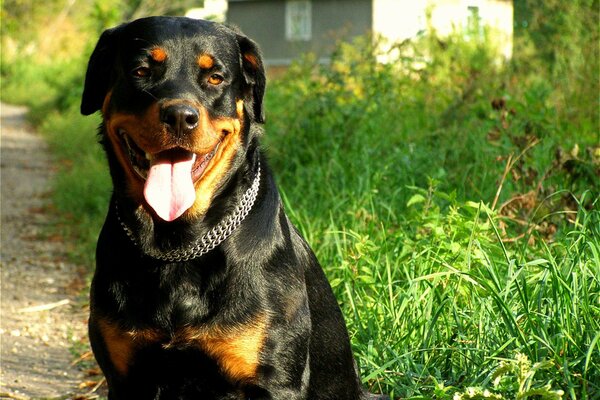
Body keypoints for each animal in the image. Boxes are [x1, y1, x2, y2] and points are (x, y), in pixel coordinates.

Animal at [81, 16, 390, 400]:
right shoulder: (126, 378)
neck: (178, 245)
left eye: (215, 77)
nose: (180, 116)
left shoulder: (276, 380)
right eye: (141, 70)